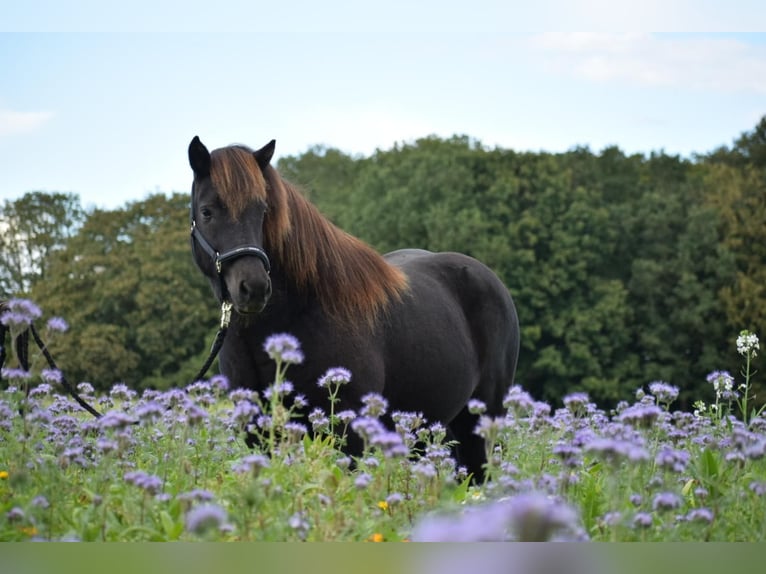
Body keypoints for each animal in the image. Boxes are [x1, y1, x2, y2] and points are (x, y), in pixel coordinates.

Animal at [188, 136, 520, 482]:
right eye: (207, 212)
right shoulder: (261, 433)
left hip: (481, 421)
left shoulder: (348, 436)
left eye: (263, 210)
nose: (252, 288)